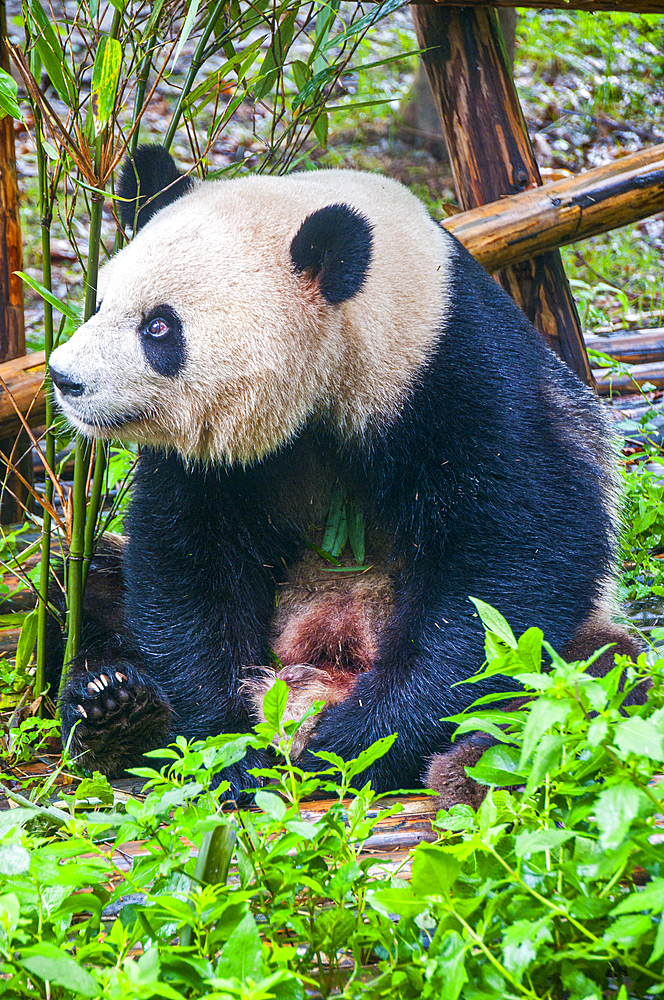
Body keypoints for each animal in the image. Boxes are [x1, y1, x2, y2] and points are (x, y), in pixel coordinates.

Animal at [46, 146, 640, 804]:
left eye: (159, 327)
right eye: (101, 304)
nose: (64, 378)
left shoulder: (456, 376)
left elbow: (512, 562)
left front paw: (352, 747)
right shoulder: (206, 460)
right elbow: (188, 566)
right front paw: (230, 750)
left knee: (590, 672)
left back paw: (472, 766)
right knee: (91, 589)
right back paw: (116, 707)